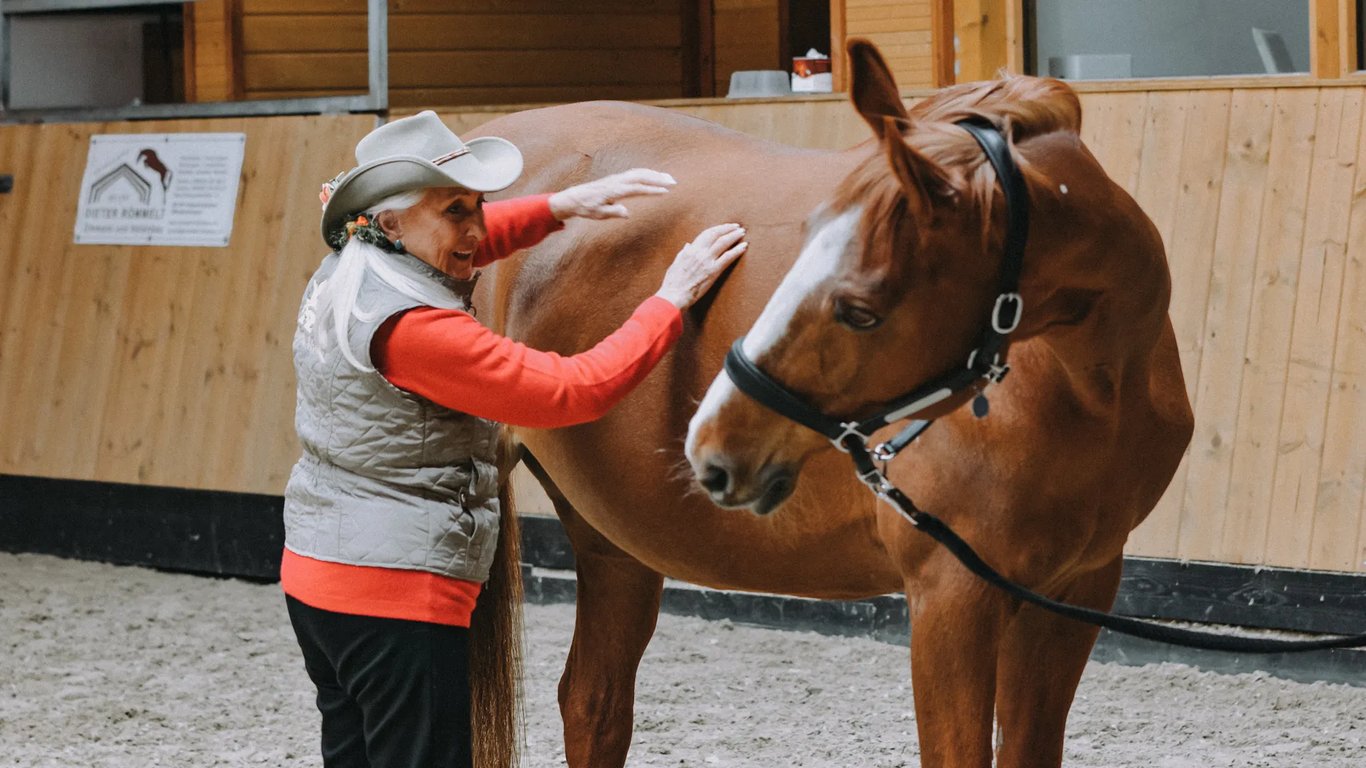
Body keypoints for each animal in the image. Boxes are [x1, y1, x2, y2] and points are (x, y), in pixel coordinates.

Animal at [470, 40, 1194, 768]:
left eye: (859, 310)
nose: (710, 445)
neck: (1089, 390)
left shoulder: (1073, 590)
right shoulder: (952, 596)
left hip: (612, 545)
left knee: (593, 703)